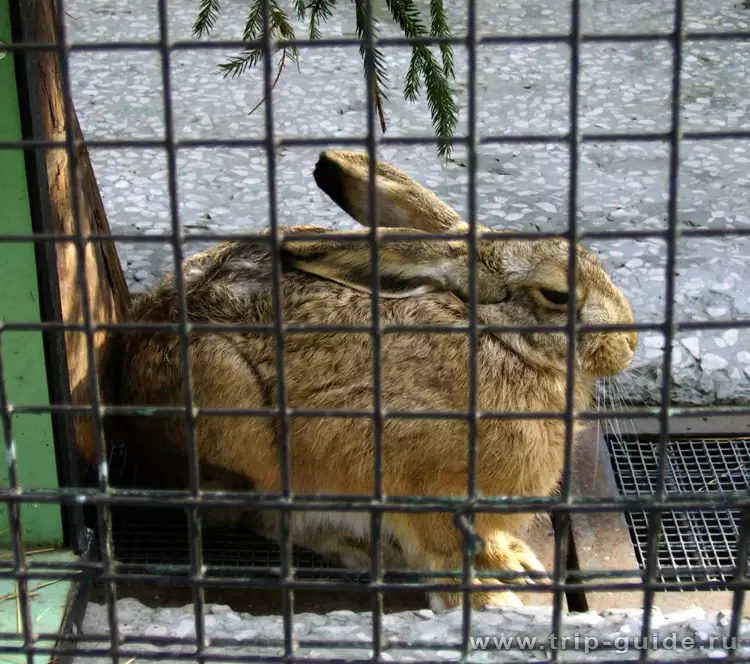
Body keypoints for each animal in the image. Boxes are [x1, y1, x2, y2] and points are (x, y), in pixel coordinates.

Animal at [104, 149, 638, 612]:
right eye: (557, 295)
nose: (630, 341)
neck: (500, 337)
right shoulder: (421, 490)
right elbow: (445, 553)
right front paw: (487, 601)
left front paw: (513, 560)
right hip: (243, 433)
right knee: (271, 519)